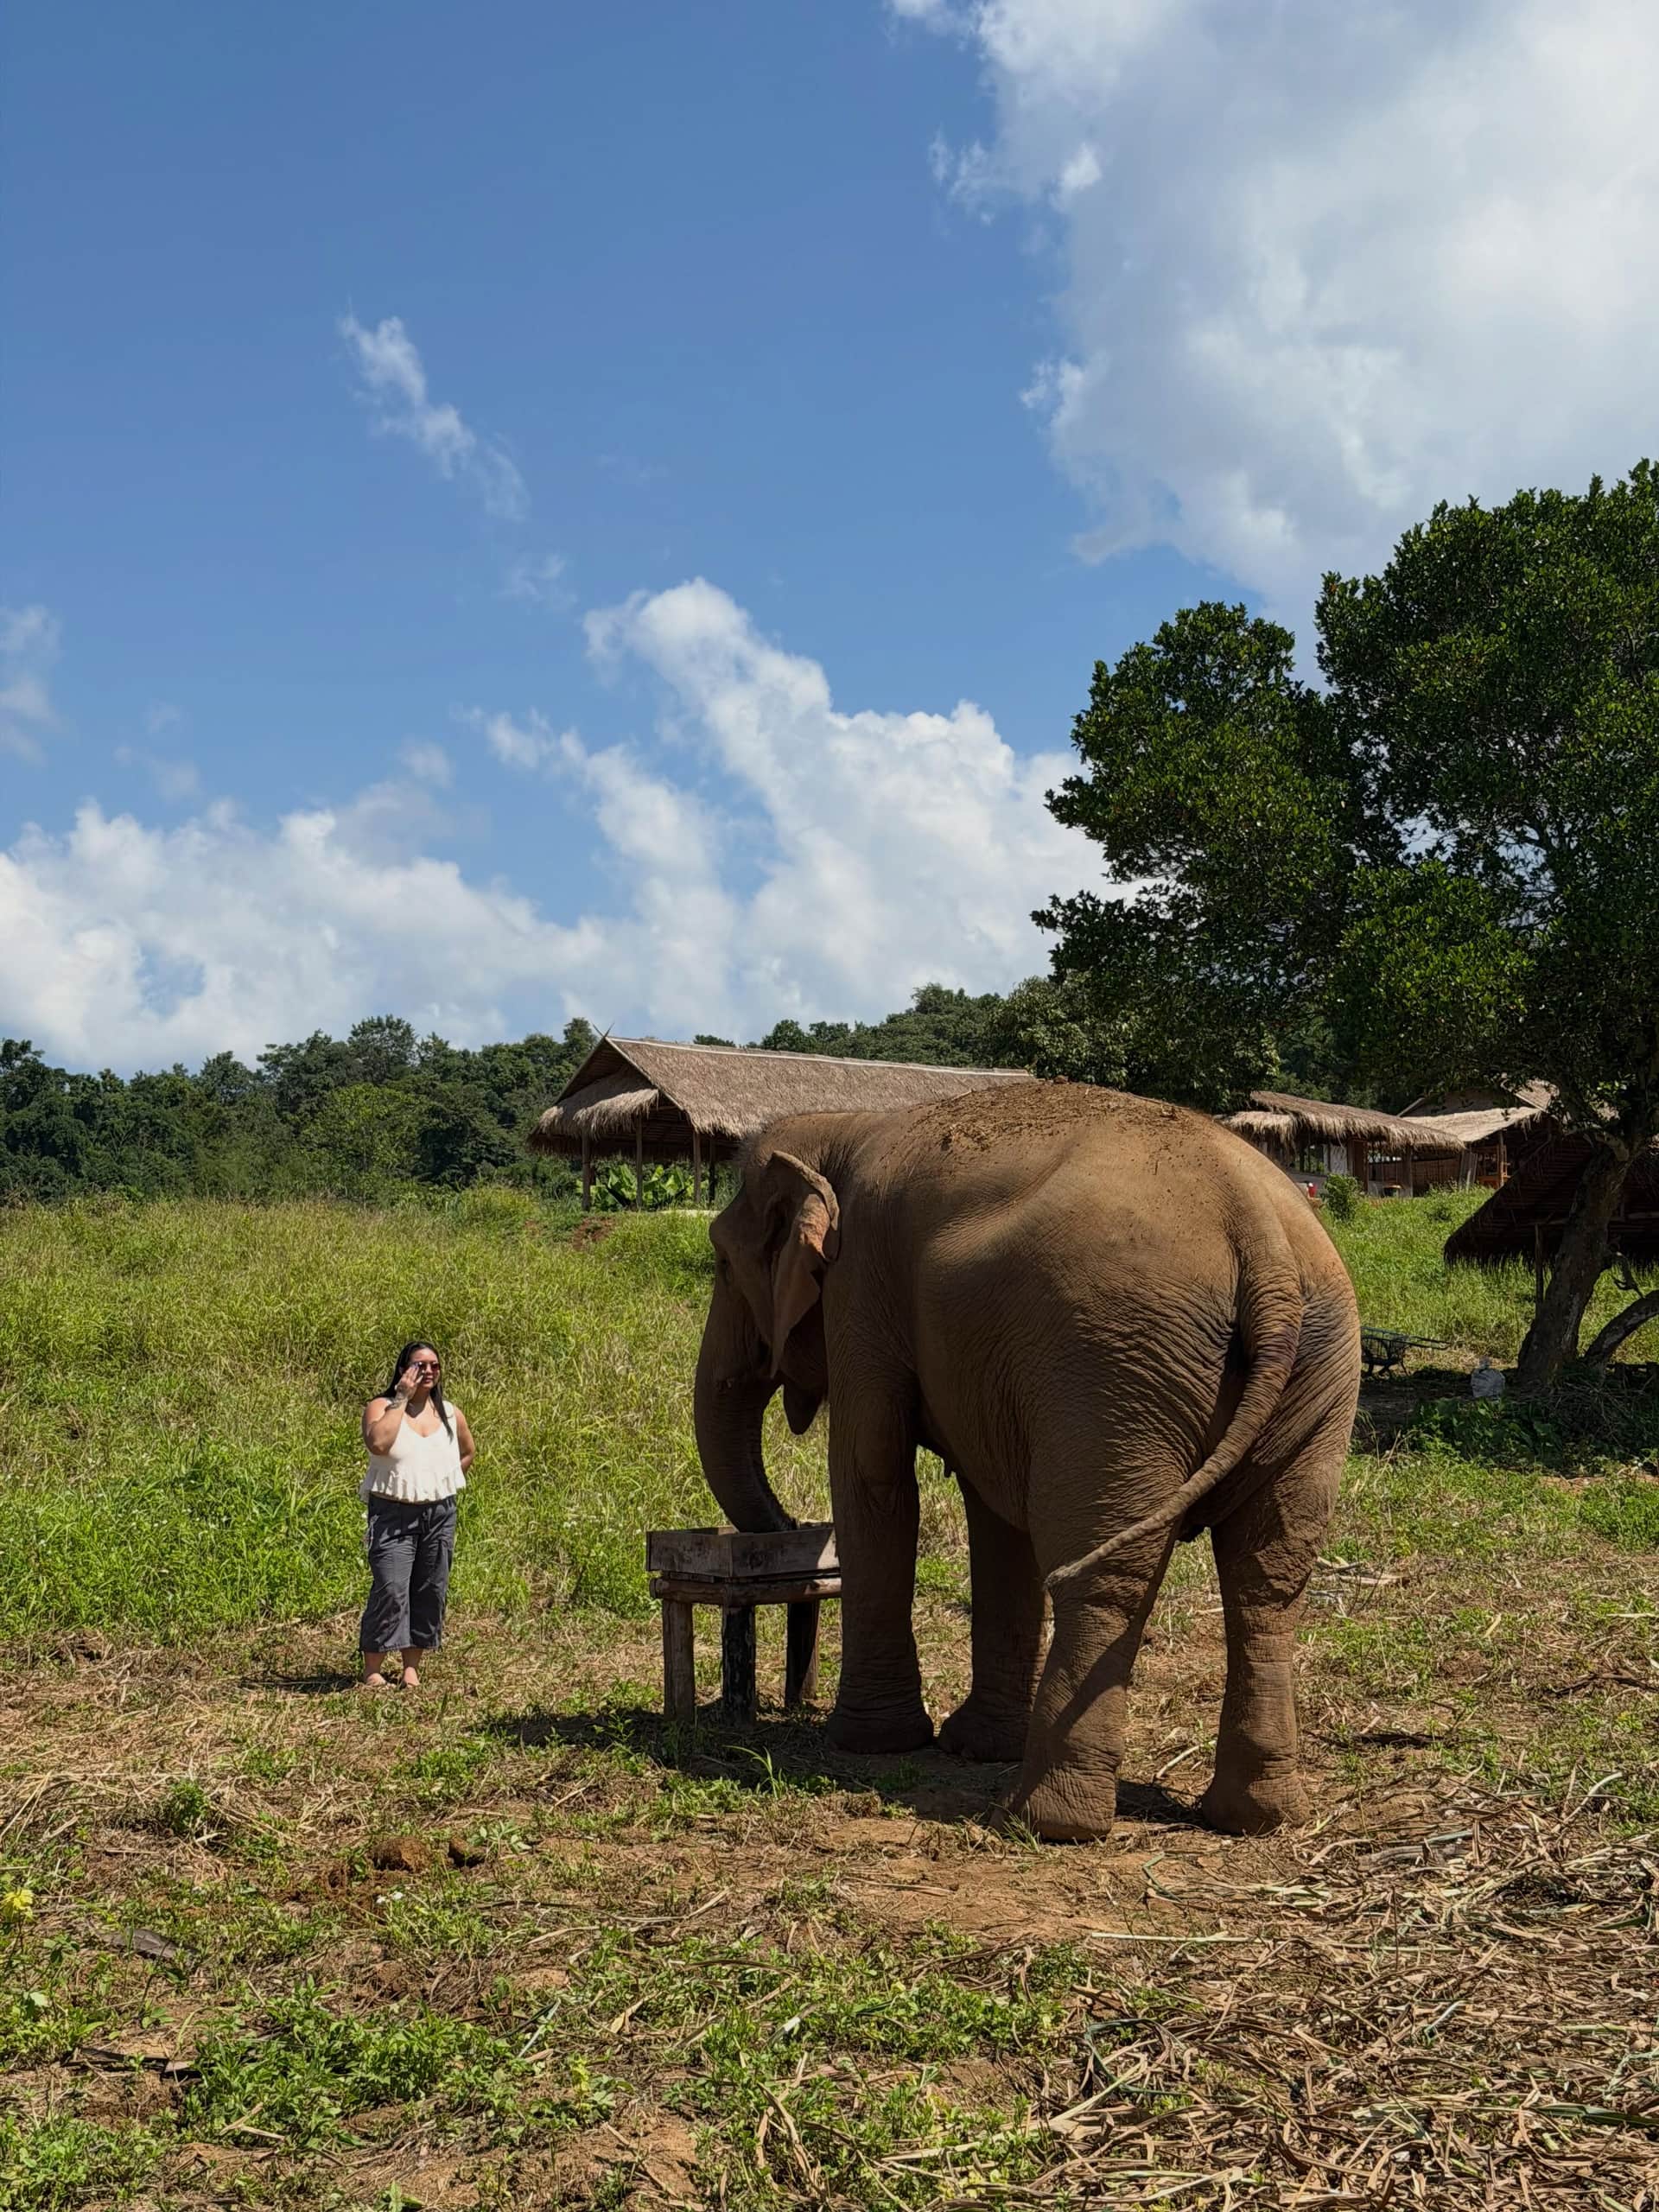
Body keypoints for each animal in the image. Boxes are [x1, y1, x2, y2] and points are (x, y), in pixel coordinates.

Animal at [692, 1080, 1361, 1842]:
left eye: (722, 1264)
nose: (787, 1539)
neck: (845, 1125)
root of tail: (1264, 1240)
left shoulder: (860, 1288)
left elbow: (873, 1474)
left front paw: (868, 1743)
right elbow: (995, 1519)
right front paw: (973, 1747)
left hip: (1111, 1372)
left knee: (1101, 1570)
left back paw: (1043, 1819)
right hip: (1317, 1375)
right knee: (1268, 1575)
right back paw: (1256, 1818)